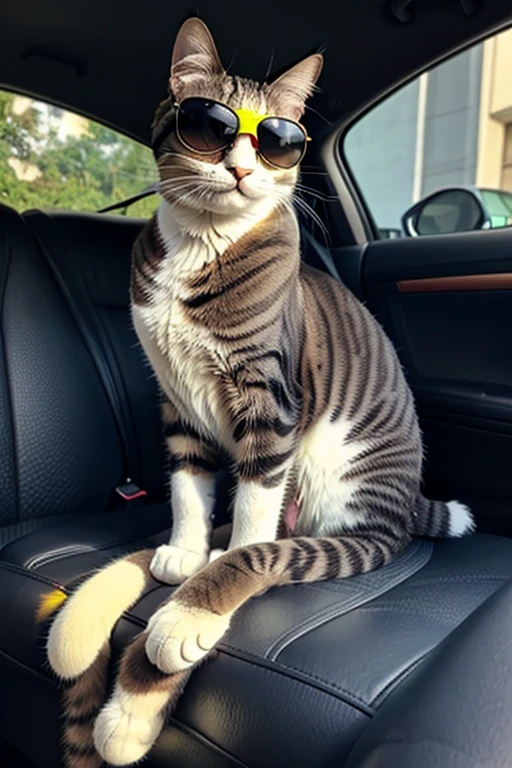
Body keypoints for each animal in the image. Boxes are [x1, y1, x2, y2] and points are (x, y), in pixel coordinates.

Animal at [42, 18, 474, 768]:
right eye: (209, 123)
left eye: (278, 137)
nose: (244, 168)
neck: (203, 241)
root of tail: (406, 505)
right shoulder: (176, 399)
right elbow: (188, 488)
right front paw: (185, 548)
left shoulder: (268, 404)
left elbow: (250, 526)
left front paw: (197, 594)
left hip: (337, 490)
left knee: (278, 542)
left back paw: (147, 678)